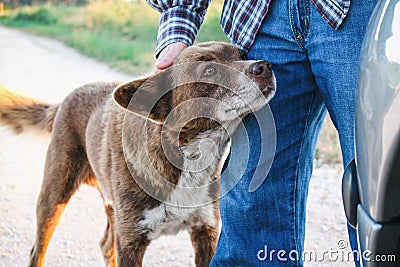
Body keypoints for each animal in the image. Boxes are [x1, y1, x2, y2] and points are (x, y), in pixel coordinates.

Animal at [0, 42, 276, 267]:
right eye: (209, 70)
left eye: (243, 55)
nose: (265, 66)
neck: (188, 159)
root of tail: (64, 100)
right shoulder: (130, 242)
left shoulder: (205, 233)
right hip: (54, 195)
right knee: (38, 249)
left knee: (105, 244)